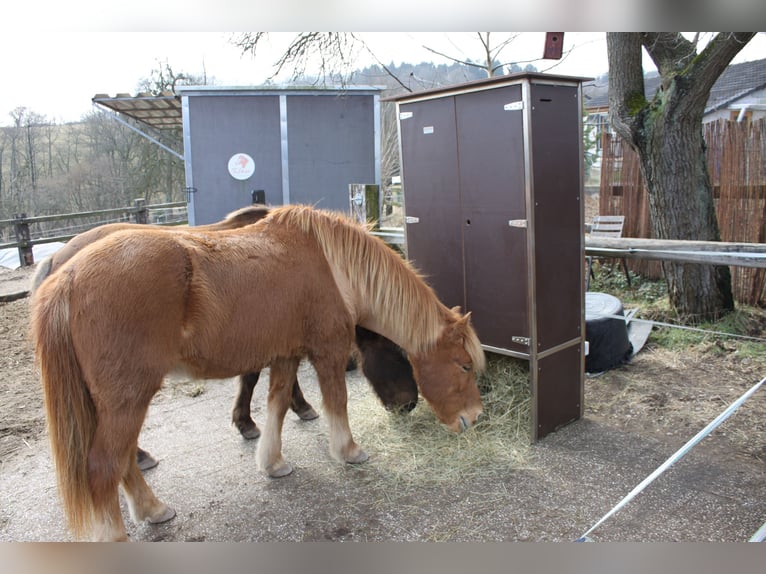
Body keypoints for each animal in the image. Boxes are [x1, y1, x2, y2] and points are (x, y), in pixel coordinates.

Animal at [33, 205, 486, 544]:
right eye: (464, 365)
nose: (474, 417)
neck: (332, 266)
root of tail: (66, 276)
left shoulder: (284, 356)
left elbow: (278, 405)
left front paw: (272, 462)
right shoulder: (326, 352)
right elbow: (336, 402)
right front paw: (349, 452)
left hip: (114, 401)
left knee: (123, 459)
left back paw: (153, 509)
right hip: (128, 396)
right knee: (104, 466)